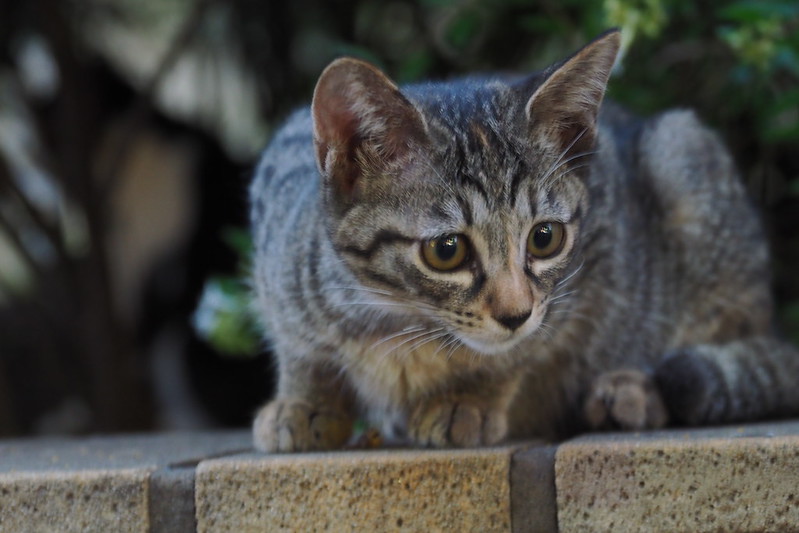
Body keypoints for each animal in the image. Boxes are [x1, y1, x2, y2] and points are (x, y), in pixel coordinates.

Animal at [248, 29, 799, 450]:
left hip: (683, 155)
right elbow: (298, 341)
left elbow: (527, 348)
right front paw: (304, 400)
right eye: (446, 250)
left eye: (544, 239)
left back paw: (630, 388)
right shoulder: (274, 207)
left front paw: (468, 397)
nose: (515, 313)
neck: (399, 318)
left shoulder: (584, 273)